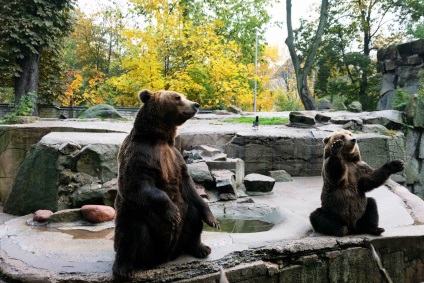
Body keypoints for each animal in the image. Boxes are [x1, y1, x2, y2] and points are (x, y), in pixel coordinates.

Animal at [112, 89, 219, 280]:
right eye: (178, 97)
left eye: (183, 96)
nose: (195, 104)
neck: (160, 138)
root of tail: (165, 256)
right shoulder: (140, 155)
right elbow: (138, 185)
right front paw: (173, 213)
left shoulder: (175, 157)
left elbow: (189, 187)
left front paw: (212, 219)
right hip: (139, 218)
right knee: (130, 233)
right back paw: (123, 269)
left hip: (184, 223)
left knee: (193, 217)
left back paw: (201, 248)